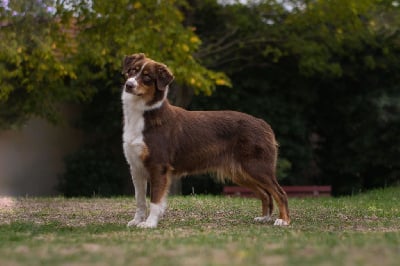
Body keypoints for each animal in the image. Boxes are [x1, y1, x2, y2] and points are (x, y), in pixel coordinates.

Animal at [120, 53, 290, 228]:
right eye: (132, 71)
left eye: (147, 77)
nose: (129, 85)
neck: (143, 113)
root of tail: (263, 123)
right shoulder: (136, 167)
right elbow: (140, 200)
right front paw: (137, 221)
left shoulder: (158, 166)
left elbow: (155, 199)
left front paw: (150, 223)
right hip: (241, 173)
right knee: (265, 194)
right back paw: (264, 217)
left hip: (257, 167)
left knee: (280, 192)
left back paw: (283, 220)